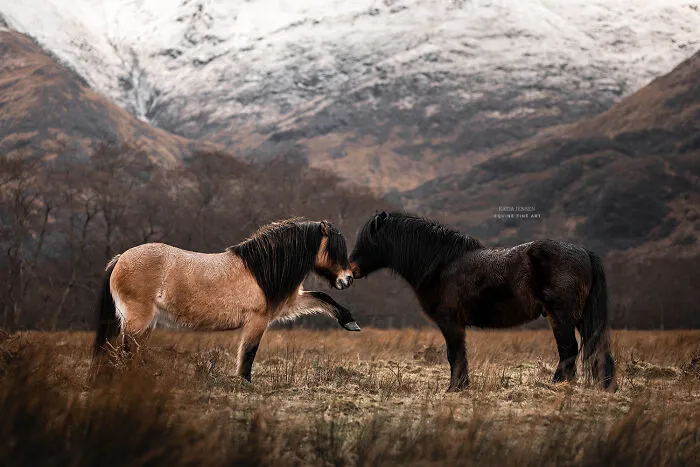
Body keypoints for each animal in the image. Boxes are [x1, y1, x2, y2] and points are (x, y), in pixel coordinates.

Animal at [93, 218, 360, 382]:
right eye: (334, 248)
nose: (348, 279)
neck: (259, 270)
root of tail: (120, 259)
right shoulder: (257, 321)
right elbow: (248, 354)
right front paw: (244, 383)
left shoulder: (287, 304)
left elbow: (322, 297)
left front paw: (350, 322)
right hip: (138, 321)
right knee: (127, 351)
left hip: (146, 323)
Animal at [349, 212, 616, 392]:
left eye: (368, 241)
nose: (350, 271)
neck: (440, 265)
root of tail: (584, 252)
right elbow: (460, 355)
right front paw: (462, 387)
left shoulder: (450, 322)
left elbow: (454, 355)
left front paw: (454, 389)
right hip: (580, 318)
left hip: (561, 316)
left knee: (568, 351)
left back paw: (557, 386)